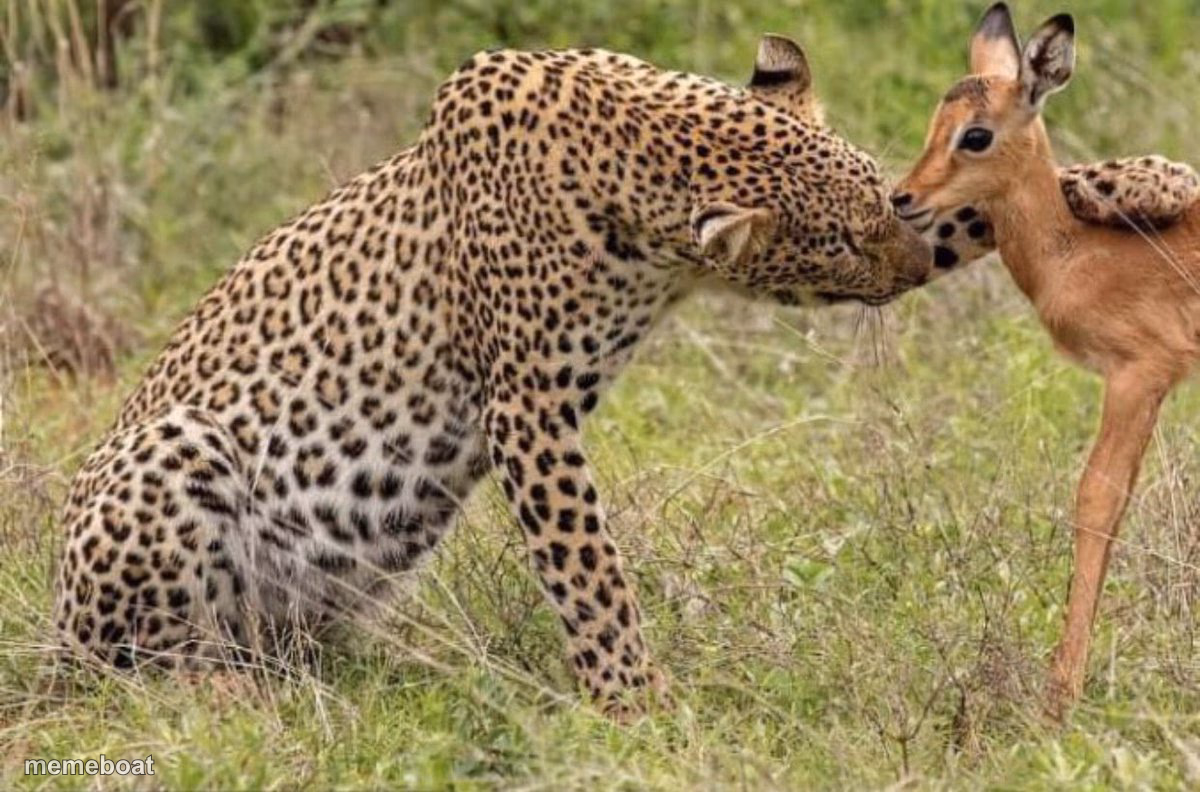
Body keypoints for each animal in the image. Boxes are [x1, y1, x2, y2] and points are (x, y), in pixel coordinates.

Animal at [51, 36, 932, 715]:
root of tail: (52, 642)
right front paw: (636, 704)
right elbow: (588, 570)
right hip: (176, 447)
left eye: (881, 192)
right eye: (841, 244)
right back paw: (223, 692)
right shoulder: (527, 409)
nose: (925, 264)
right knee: (137, 671)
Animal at [892, 2, 1200, 720]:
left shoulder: (1138, 375)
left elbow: (1096, 501)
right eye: (937, 119)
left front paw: (1059, 694)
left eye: (976, 134)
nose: (903, 197)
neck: (1077, 253)